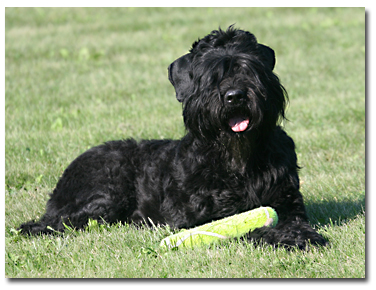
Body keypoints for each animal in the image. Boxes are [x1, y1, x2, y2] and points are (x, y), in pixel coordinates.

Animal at [19, 26, 328, 249]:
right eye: (210, 75)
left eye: (250, 68)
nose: (235, 96)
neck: (237, 160)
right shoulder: (197, 217)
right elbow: (243, 225)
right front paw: (279, 236)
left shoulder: (288, 203)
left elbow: (291, 220)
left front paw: (300, 235)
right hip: (104, 196)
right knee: (56, 221)